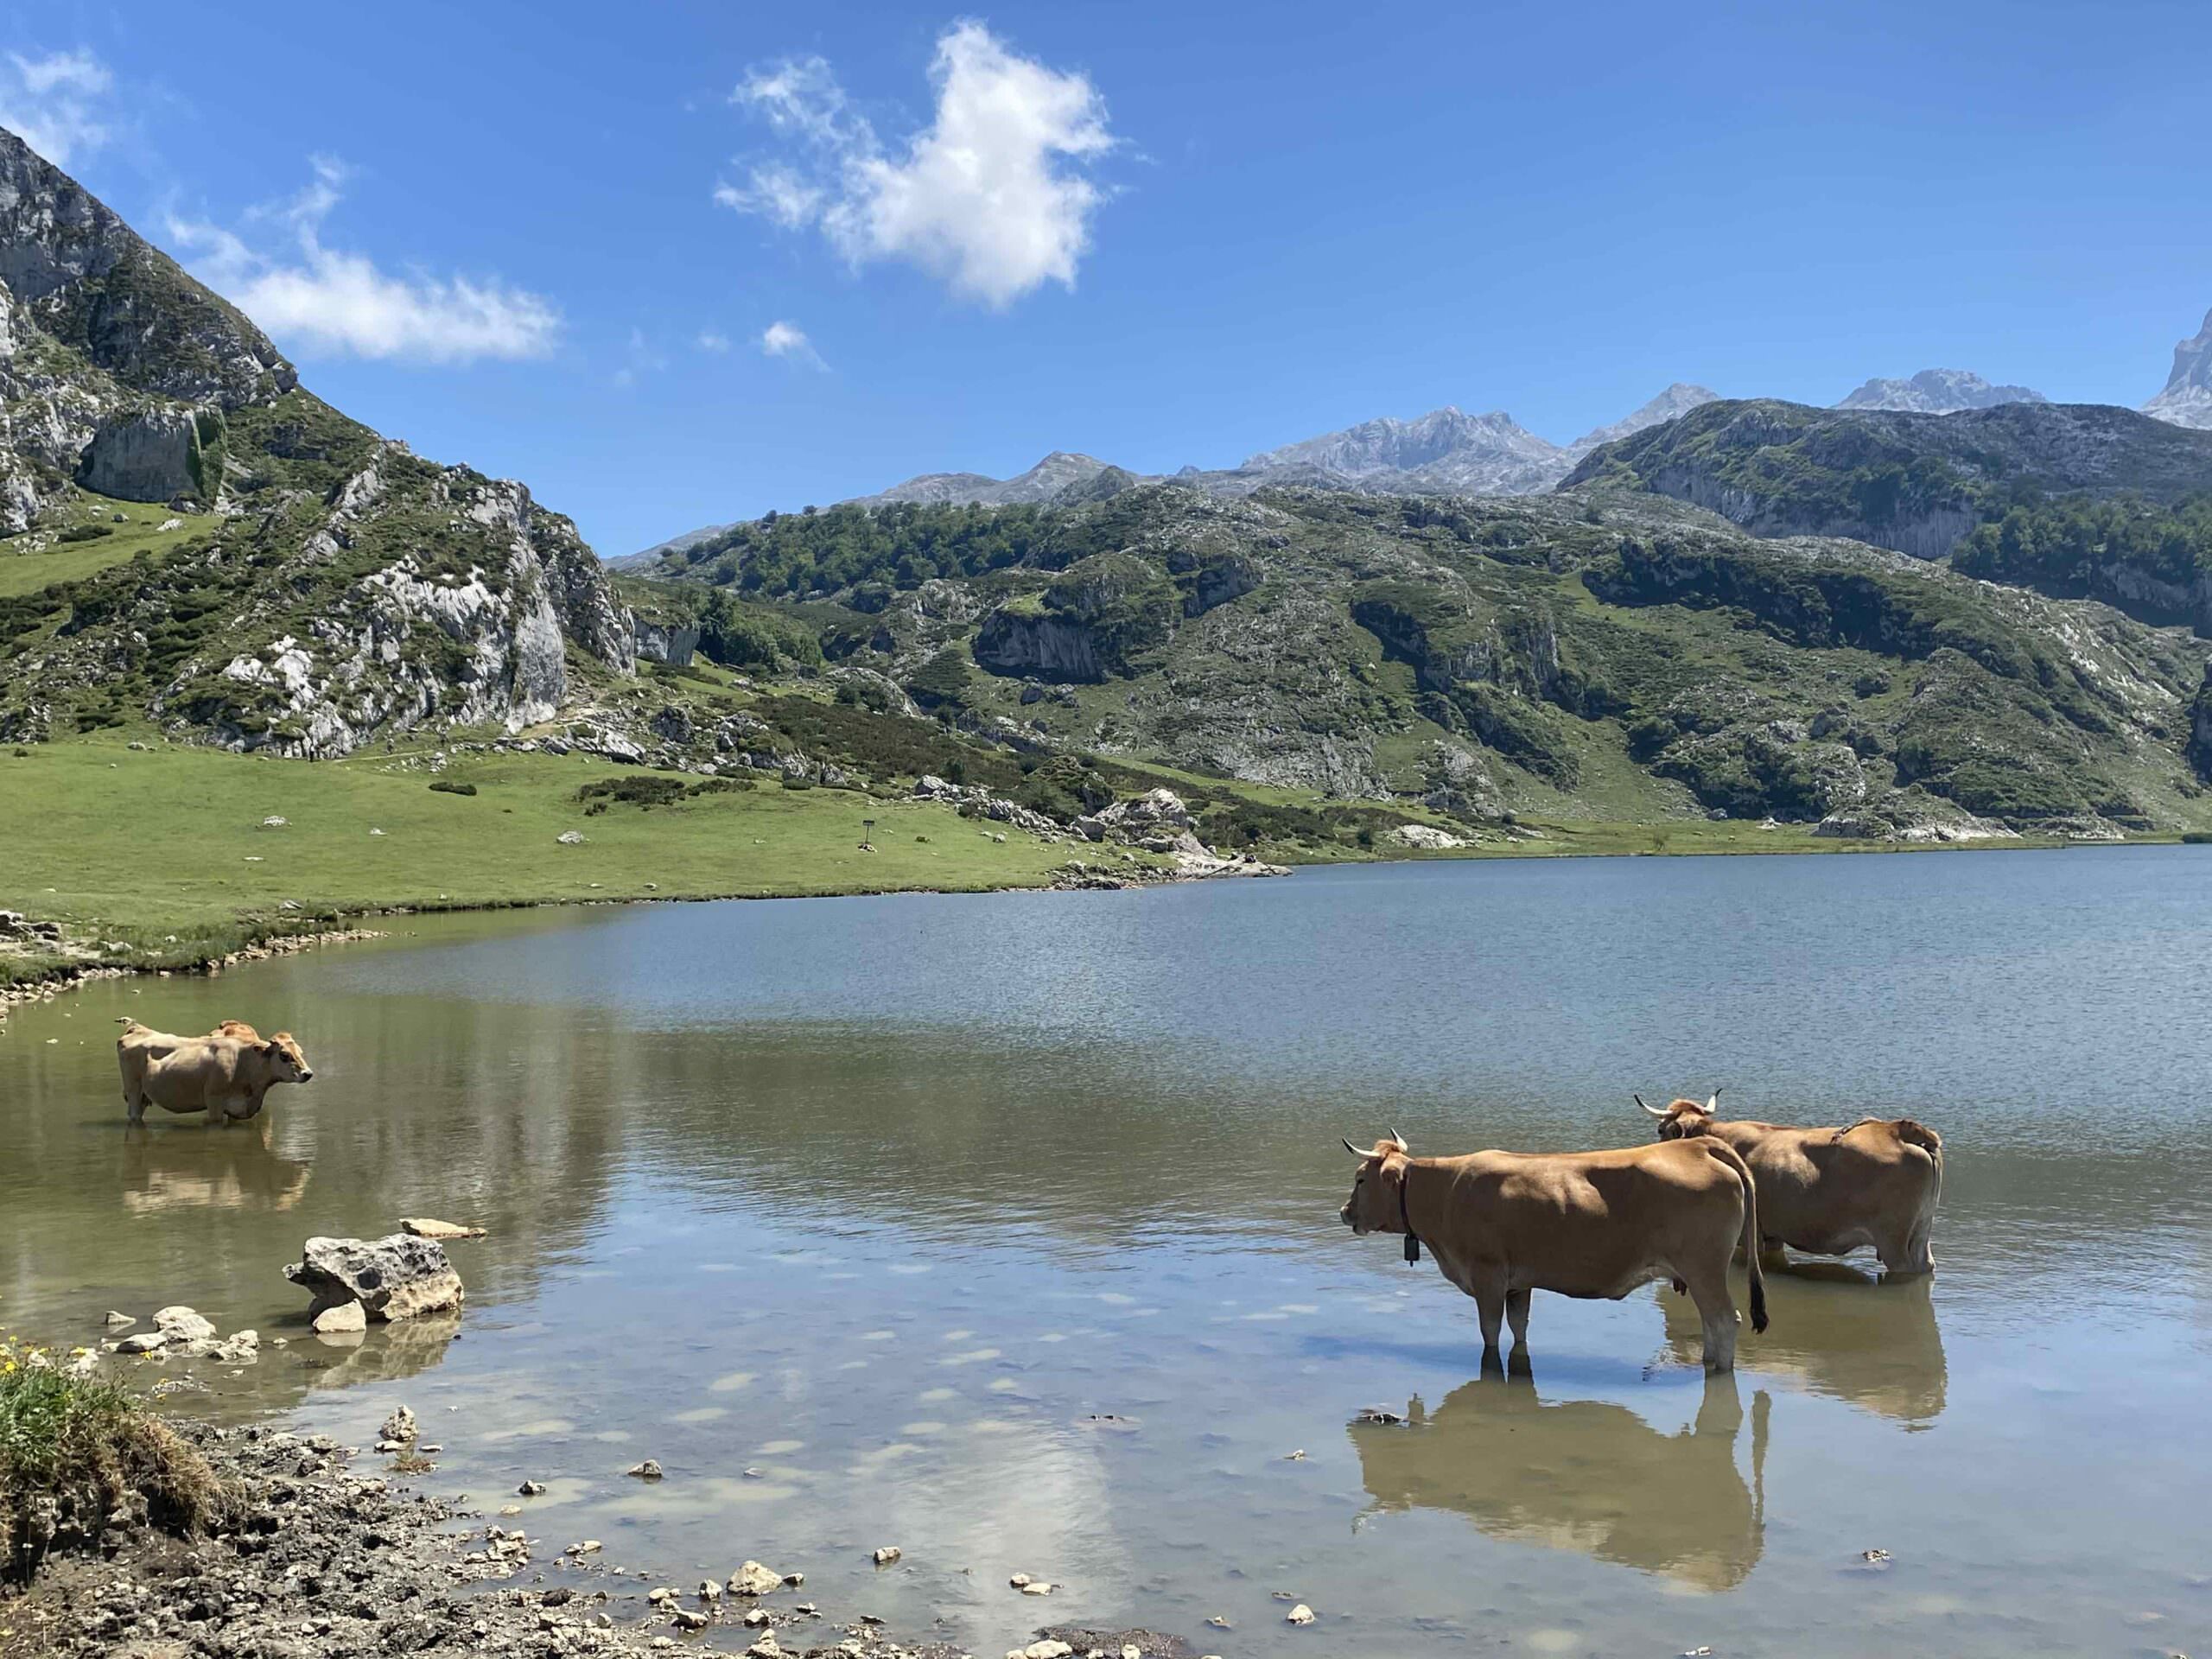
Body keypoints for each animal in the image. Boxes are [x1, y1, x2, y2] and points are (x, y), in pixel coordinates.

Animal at [115, 1021, 311, 1123]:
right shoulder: (214, 1101)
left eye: (300, 1052)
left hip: (143, 1095)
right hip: (133, 1090)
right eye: (284, 1055)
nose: (308, 1073)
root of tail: (138, 1028)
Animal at [1336, 1132, 1770, 1380]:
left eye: (1360, 1178)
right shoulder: (1518, 1282)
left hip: (1705, 1269)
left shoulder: (1488, 1276)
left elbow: (1490, 1333)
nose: (1345, 1212)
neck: (1446, 1192)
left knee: (1724, 1320)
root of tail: (1697, 1145)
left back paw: (1719, 1374)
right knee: (1710, 1324)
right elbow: (1520, 1328)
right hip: (1699, 1273)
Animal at [1637, 1096, 1946, 1282]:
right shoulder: (1773, 1234)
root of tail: (1896, 1129)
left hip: (1894, 1240)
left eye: (1660, 1131)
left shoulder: (1748, 1235)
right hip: (1921, 1230)